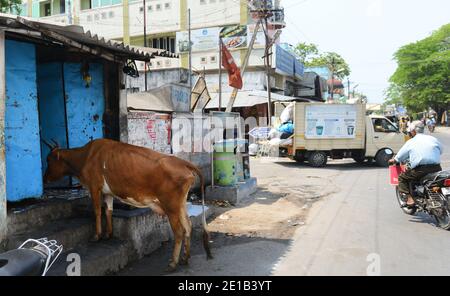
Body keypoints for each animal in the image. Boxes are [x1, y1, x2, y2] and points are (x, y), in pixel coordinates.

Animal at [43, 139, 212, 270]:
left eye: (49, 160)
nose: (44, 179)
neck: (85, 156)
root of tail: (182, 162)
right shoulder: (108, 192)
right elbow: (108, 210)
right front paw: (108, 234)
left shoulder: (94, 187)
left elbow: (97, 210)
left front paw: (97, 236)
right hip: (180, 204)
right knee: (188, 226)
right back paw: (185, 258)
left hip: (171, 206)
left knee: (179, 232)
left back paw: (173, 263)